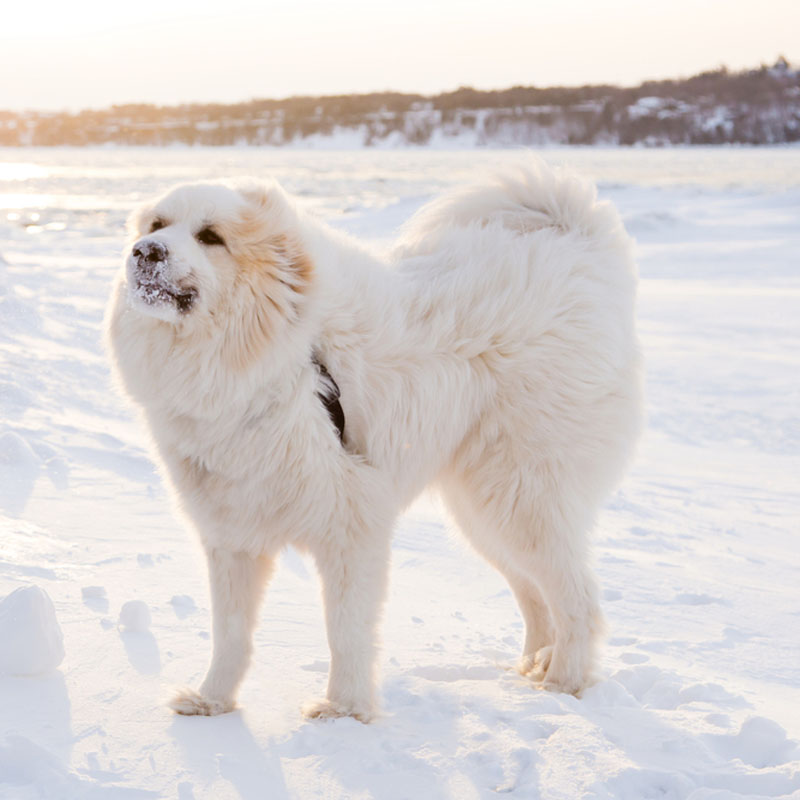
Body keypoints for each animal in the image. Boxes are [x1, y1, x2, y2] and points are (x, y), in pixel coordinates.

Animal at [108, 159, 644, 720]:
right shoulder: (231, 534)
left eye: (211, 237)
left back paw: (563, 684)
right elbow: (230, 634)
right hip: (484, 509)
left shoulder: (351, 523)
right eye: (157, 225)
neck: (273, 360)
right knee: (536, 595)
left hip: (521, 497)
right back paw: (533, 668)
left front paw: (343, 711)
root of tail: (580, 245)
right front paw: (212, 701)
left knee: (577, 600)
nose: (145, 251)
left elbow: (345, 630)